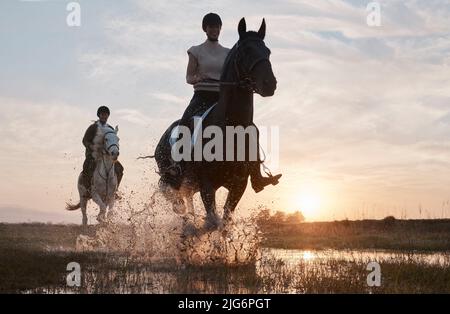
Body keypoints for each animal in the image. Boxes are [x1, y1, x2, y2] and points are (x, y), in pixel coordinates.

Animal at [153, 17, 276, 229]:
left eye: (267, 51)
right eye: (245, 51)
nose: (270, 84)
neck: (230, 127)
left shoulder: (238, 184)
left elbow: (224, 222)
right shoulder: (207, 184)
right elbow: (213, 221)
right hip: (174, 181)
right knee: (180, 208)